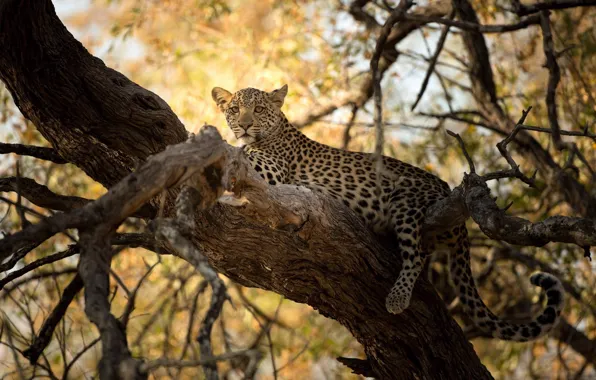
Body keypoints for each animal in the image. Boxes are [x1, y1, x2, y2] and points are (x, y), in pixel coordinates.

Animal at [212, 84, 564, 342]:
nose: (244, 125)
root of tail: (447, 191)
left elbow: (238, 157)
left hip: (405, 202)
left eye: (259, 109)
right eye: (234, 109)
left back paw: (398, 297)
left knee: (417, 255)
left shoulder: (270, 168)